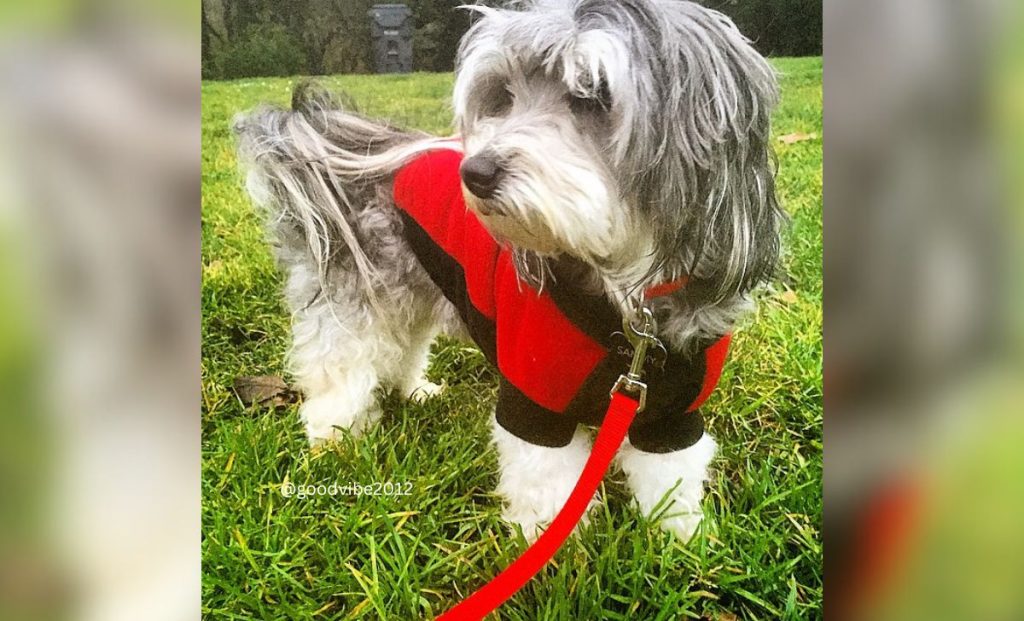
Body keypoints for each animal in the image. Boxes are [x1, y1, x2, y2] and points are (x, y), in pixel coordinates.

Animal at [234, 0, 782, 541]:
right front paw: (555, 555)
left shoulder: (671, 413)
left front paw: (681, 543)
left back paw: (415, 391)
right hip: (356, 301)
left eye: (592, 96)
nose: (474, 173)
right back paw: (334, 438)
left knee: (404, 347)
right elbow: (547, 490)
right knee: (340, 371)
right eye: (505, 96)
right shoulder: (533, 403)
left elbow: (671, 482)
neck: (626, 298)